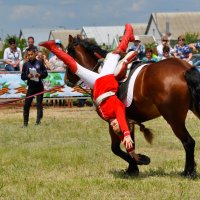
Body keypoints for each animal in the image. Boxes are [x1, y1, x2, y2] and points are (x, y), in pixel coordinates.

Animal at [65, 35, 200, 177]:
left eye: (67, 60)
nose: (66, 80)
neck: (99, 73)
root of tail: (184, 70)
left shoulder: (113, 121)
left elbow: (116, 148)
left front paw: (139, 162)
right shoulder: (129, 121)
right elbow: (130, 144)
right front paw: (133, 168)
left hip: (174, 119)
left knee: (188, 142)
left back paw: (188, 171)